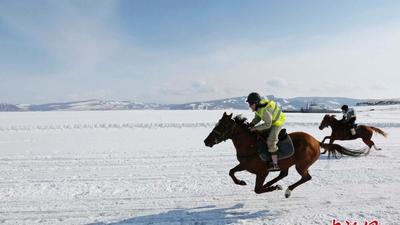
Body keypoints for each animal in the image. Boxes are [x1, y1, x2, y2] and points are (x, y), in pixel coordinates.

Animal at [203, 112, 360, 197]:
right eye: (217, 124)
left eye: (222, 125)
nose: (206, 141)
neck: (250, 145)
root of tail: (316, 141)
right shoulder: (244, 164)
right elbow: (231, 172)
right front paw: (241, 182)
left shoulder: (262, 172)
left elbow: (257, 190)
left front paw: (273, 188)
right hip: (287, 163)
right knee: (283, 174)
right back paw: (273, 184)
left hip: (301, 165)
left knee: (306, 177)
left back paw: (287, 190)